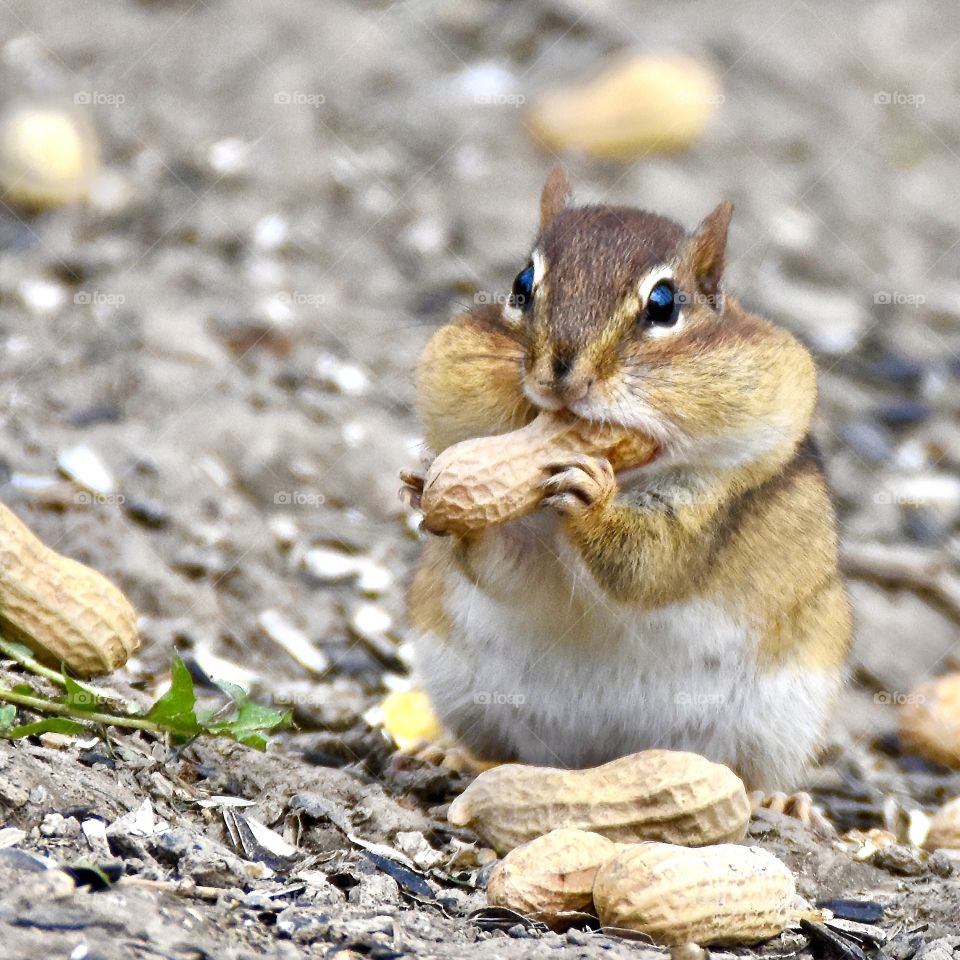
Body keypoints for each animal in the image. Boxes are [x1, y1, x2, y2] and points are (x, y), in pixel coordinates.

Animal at [404, 168, 851, 803]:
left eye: (663, 305)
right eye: (521, 285)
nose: (561, 373)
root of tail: (598, 761)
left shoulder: (709, 509)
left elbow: (651, 565)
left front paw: (591, 500)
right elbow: (503, 566)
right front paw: (431, 492)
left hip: (785, 712)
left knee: (749, 770)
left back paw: (777, 799)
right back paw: (452, 755)